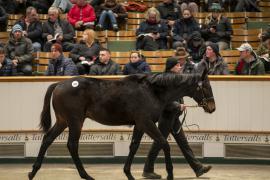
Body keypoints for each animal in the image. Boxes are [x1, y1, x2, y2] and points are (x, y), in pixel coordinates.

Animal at [28, 70, 216, 179]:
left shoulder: (139, 125)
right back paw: (86, 175)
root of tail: (58, 84)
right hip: (75, 121)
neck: (152, 91)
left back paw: (33, 172)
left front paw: (128, 173)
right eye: (206, 86)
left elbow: (134, 146)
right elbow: (164, 143)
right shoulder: (146, 122)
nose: (212, 107)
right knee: (72, 145)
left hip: (63, 121)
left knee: (47, 139)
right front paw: (170, 174)